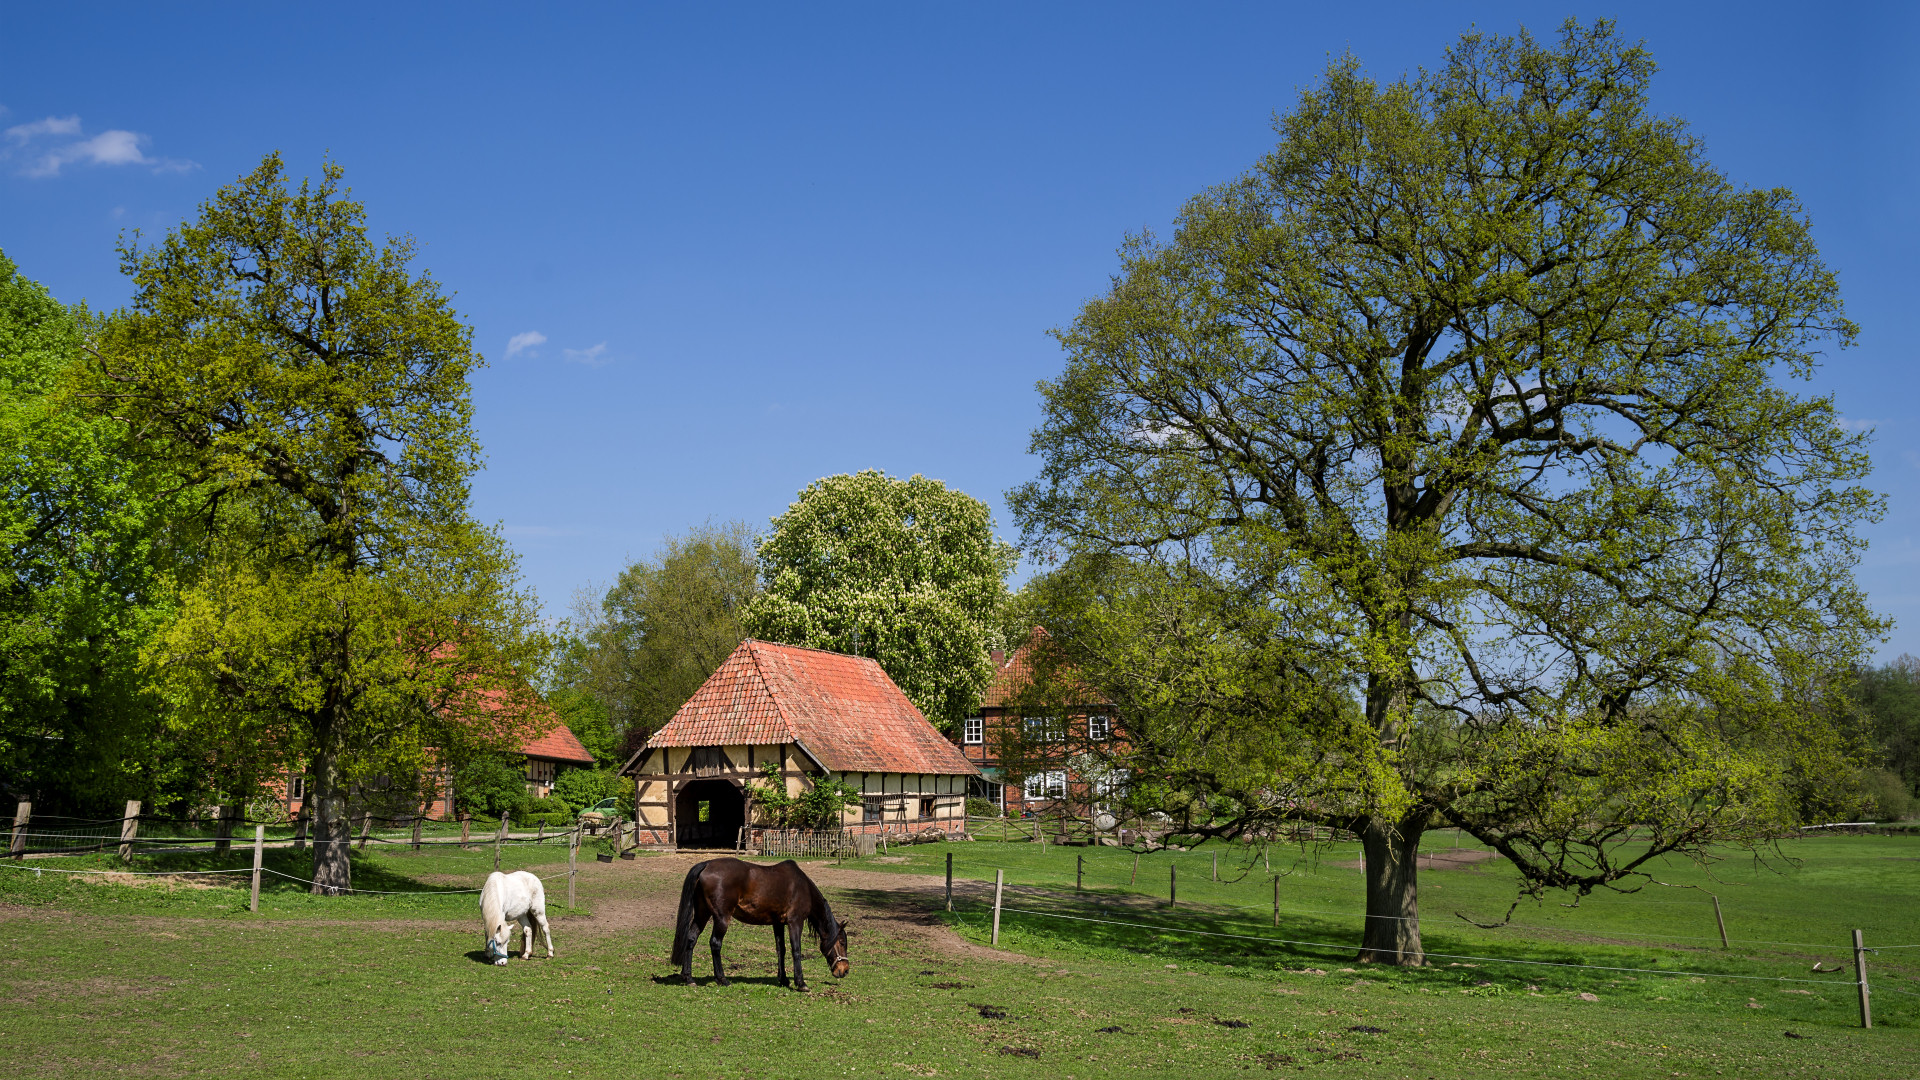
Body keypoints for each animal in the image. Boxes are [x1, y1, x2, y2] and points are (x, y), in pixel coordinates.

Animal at [675, 853, 856, 991]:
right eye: (842, 942)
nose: (845, 970)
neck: (803, 888)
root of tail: (706, 864)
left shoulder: (778, 923)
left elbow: (781, 950)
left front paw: (783, 979)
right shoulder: (795, 922)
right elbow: (796, 950)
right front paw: (801, 983)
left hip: (702, 914)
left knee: (691, 939)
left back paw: (689, 977)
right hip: (721, 918)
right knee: (715, 943)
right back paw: (722, 979)